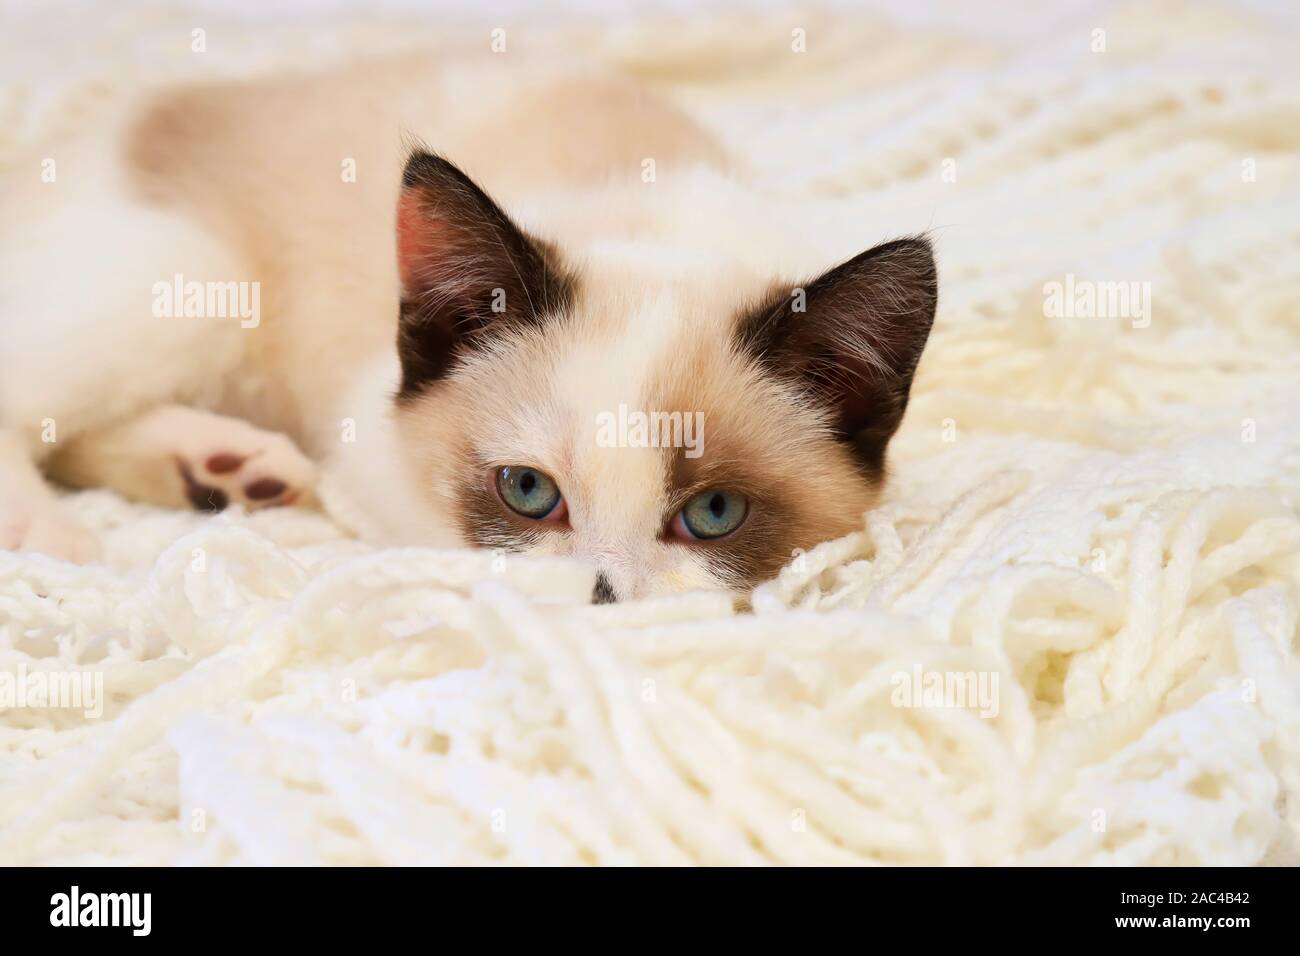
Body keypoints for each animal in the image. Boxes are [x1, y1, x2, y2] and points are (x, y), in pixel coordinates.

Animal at [0, 52, 935, 600]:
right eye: (527, 493)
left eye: (713, 514)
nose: (605, 598)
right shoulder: (367, 458)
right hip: (192, 288)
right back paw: (48, 536)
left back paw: (225, 473)